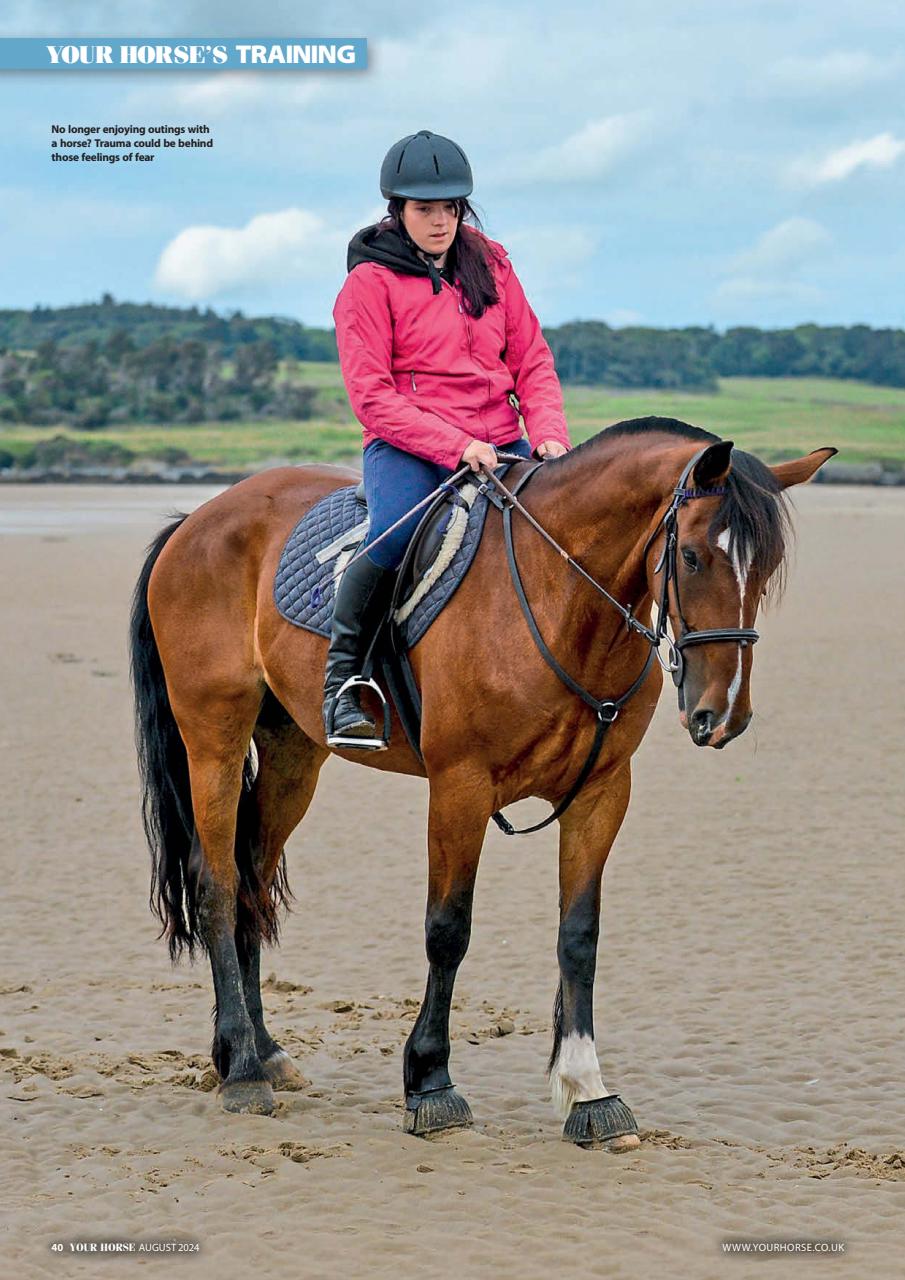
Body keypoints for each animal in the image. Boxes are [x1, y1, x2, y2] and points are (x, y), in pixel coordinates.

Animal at [129, 416, 834, 1151]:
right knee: (217, 885)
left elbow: (579, 934)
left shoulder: (602, 793)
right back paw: (241, 1068)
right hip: (213, 739)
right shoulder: (459, 787)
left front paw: (587, 1089)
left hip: (292, 754)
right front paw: (431, 1083)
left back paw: (263, 1051)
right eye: (692, 557)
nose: (721, 714)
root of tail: (198, 518)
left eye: (766, 568)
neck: (562, 604)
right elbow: (448, 929)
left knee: (254, 887)